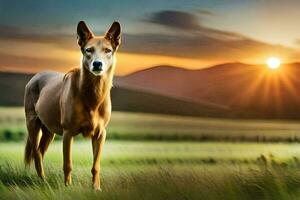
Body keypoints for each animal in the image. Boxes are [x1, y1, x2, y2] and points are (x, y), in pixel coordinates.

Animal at [23, 21, 120, 190]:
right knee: (36, 153)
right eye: (89, 50)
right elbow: (67, 164)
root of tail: (35, 76)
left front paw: (96, 188)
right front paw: (68, 187)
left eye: (108, 50)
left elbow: (96, 166)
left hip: (49, 131)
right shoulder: (68, 133)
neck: (93, 94)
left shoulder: (100, 134)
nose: (97, 64)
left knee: (40, 151)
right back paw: (43, 181)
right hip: (33, 124)